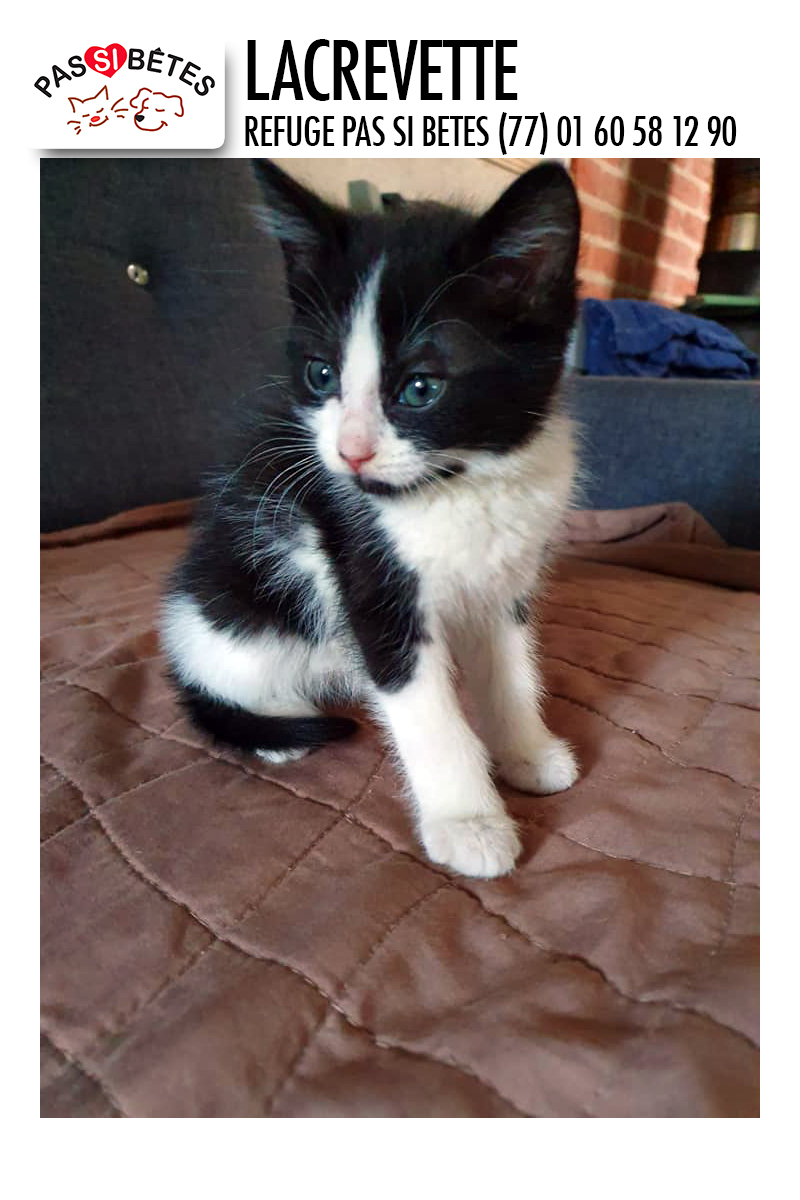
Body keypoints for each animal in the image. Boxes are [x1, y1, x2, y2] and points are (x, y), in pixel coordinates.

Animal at [161, 159, 581, 879]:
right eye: (320, 374)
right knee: (221, 677)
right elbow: (427, 711)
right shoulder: (366, 579)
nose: (349, 451)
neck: (455, 483)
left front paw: (526, 752)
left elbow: (510, 669)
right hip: (240, 610)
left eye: (420, 388)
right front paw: (468, 821)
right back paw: (276, 730)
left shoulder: (505, 582)